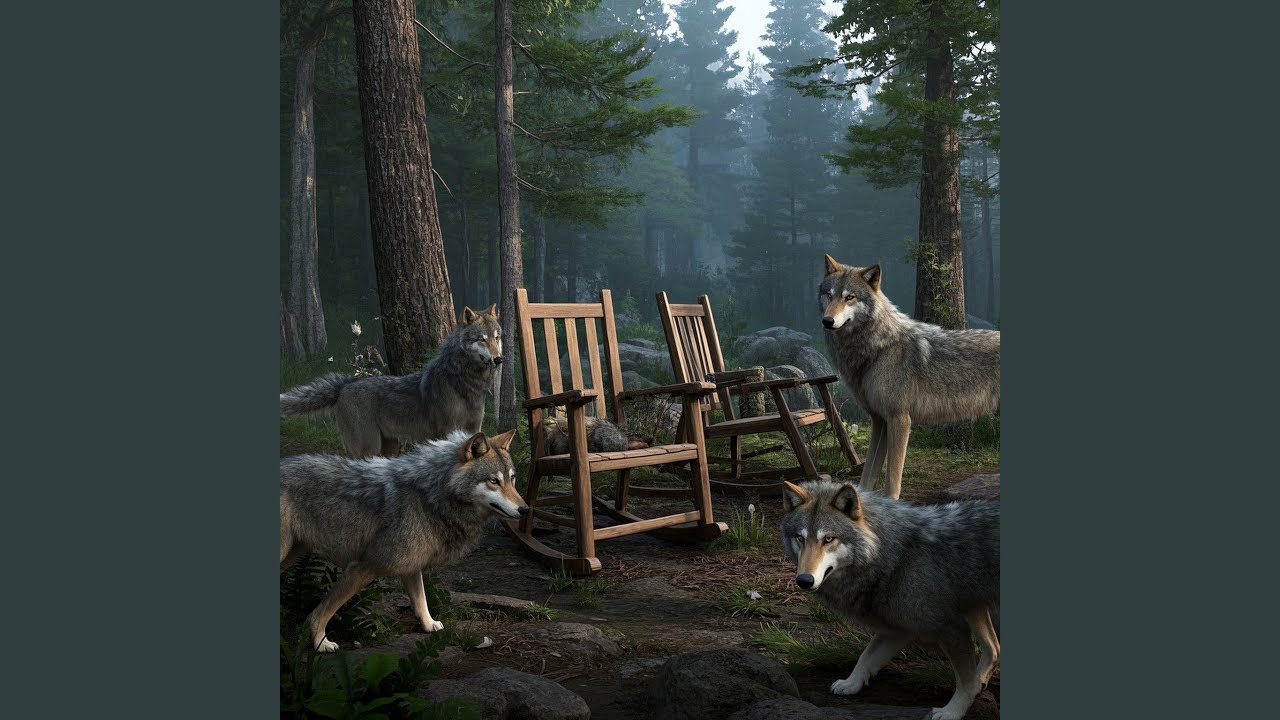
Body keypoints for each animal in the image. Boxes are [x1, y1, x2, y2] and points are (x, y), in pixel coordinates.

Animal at [280, 305, 504, 458]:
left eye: (496, 338)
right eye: (481, 339)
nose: (499, 359)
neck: (465, 382)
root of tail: (345, 385)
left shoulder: (474, 430)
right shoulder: (446, 433)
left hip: (389, 446)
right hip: (368, 448)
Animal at [280, 428, 528, 652]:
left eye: (512, 479)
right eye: (494, 481)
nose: (525, 509)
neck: (430, 495)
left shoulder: (411, 562)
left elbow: (420, 599)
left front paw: (429, 625)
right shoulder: (364, 567)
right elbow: (321, 612)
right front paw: (321, 643)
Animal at [780, 479, 1000, 720]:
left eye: (828, 539)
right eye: (800, 538)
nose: (804, 580)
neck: (894, 557)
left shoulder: (952, 628)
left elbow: (965, 680)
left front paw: (952, 711)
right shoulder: (896, 629)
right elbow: (866, 657)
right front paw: (850, 683)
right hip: (975, 608)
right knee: (994, 648)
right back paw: (982, 680)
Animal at [820, 255, 1000, 499]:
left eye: (849, 297)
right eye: (829, 295)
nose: (827, 321)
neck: (879, 348)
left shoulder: (900, 420)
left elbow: (892, 482)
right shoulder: (879, 421)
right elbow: (867, 477)